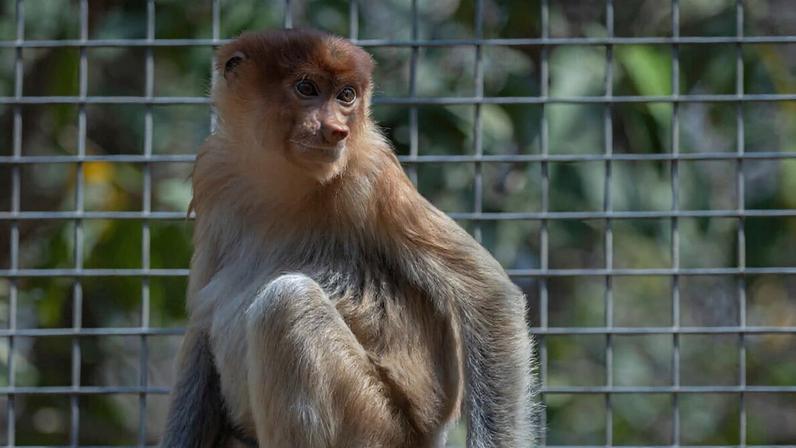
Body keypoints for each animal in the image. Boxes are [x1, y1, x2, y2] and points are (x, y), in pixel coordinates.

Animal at [161, 28, 539, 448]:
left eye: (346, 95)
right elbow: (202, 319)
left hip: (375, 425)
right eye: (306, 88)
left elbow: (486, 294)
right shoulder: (214, 171)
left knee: (286, 301)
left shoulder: (370, 173)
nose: (336, 131)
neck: (277, 178)